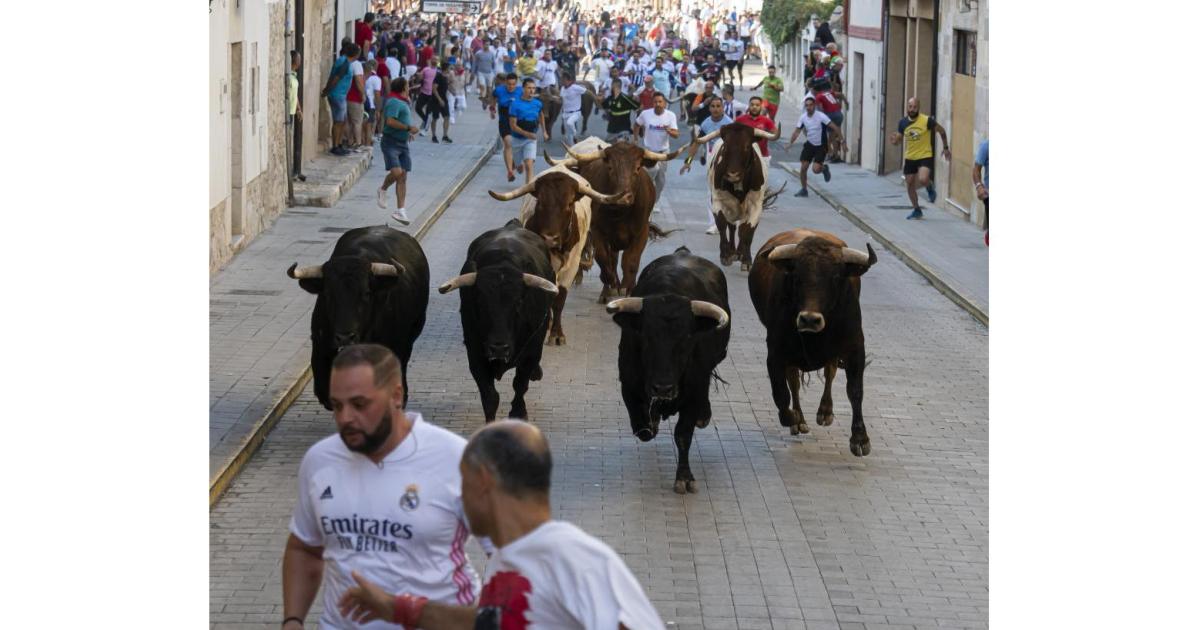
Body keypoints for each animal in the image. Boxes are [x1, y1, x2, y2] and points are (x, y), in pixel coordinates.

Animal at [439, 220, 559, 422]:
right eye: (480, 301)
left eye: (519, 302)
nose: (499, 348)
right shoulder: (475, 354)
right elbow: (489, 396)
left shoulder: (532, 351)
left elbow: (520, 384)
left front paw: (518, 412)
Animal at [609, 243, 729, 494]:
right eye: (645, 337)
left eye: (687, 338)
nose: (663, 388)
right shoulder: (629, 384)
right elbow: (643, 429)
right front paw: (653, 418)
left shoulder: (695, 388)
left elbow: (683, 434)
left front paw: (684, 477)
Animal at [744, 228, 878, 453]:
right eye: (796, 276)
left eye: (835, 277)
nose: (809, 319)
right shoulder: (776, 353)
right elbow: (781, 392)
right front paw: (791, 418)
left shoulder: (855, 349)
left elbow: (855, 391)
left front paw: (860, 439)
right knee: (794, 383)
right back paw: (799, 420)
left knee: (830, 372)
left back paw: (825, 412)